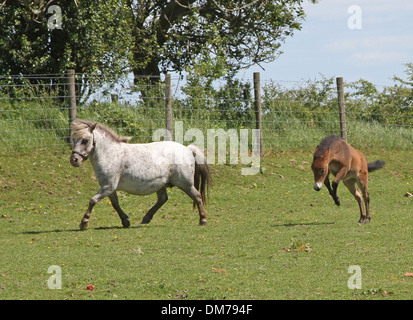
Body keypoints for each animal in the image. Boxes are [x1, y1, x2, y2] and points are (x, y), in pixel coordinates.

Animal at [69, 119, 211, 229]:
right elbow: (115, 204)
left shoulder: (108, 186)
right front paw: (125, 221)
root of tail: (188, 149)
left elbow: (92, 201)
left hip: (185, 184)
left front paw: (84, 222)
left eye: (85, 140)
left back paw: (203, 220)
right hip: (161, 184)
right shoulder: (108, 187)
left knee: (197, 196)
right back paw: (146, 218)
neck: (111, 154)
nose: (74, 160)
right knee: (163, 199)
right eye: (74, 140)